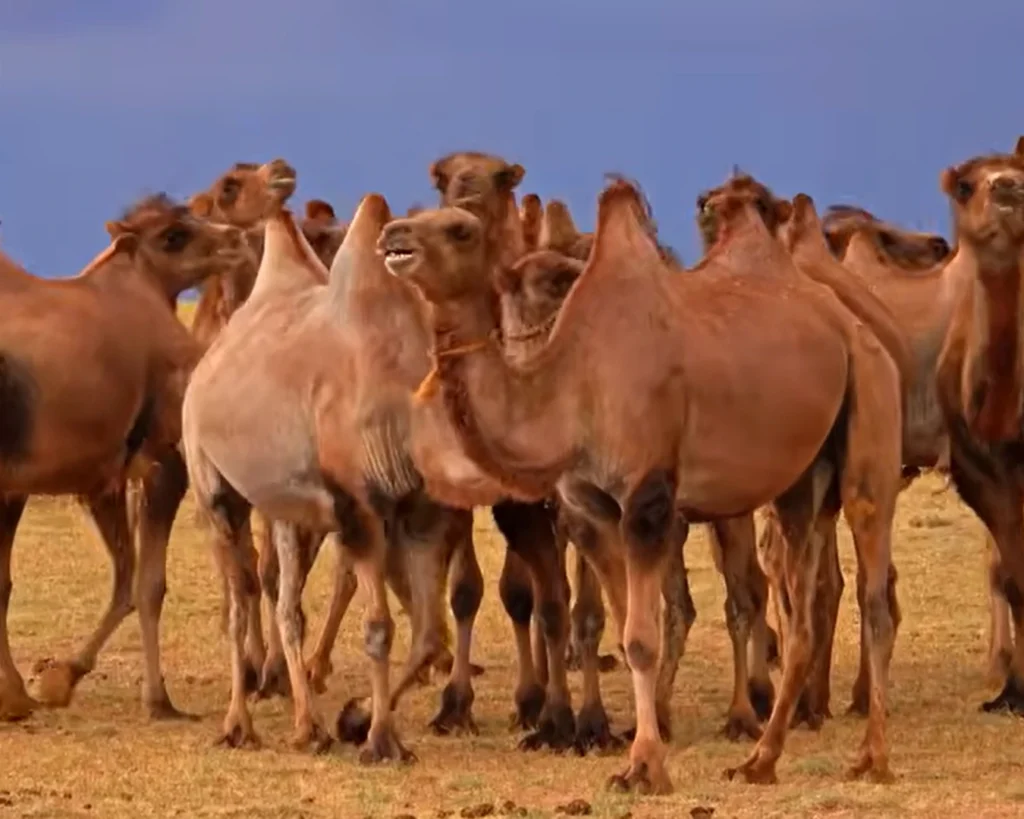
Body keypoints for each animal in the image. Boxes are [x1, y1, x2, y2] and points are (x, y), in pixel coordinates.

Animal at [0, 194, 248, 722]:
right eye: (173, 235)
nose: (235, 237)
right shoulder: (160, 461)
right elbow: (147, 584)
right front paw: (159, 700)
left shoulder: (102, 477)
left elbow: (125, 579)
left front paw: (56, 679)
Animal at [379, 175, 902, 791]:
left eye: (460, 229)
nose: (393, 236)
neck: (574, 384)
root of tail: (856, 328)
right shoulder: (593, 507)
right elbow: (628, 630)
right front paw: (631, 747)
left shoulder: (647, 500)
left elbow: (641, 637)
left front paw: (644, 766)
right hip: (800, 479)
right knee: (801, 614)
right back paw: (761, 759)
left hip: (871, 420)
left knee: (874, 597)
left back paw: (871, 756)